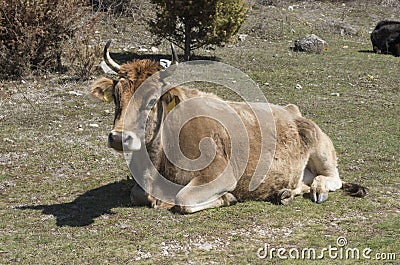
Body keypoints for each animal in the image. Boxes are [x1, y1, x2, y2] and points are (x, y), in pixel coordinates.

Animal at [90, 40, 366, 213]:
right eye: (117, 95)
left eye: (150, 101)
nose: (118, 138)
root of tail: (292, 110)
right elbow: (137, 193)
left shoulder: (220, 175)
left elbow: (183, 200)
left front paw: (227, 198)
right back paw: (283, 193)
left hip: (322, 150)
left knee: (332, 178)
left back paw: (318, 189)